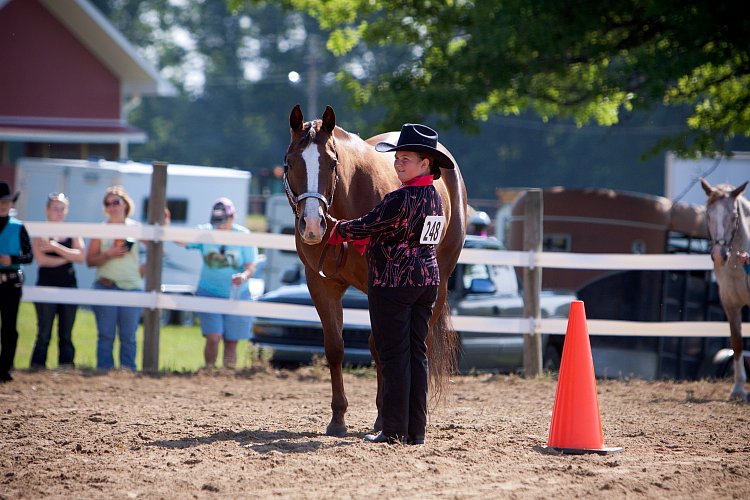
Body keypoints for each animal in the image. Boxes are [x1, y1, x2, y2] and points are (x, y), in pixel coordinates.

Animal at [284, 104, 468, 434]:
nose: (313, 225)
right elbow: (335, 347)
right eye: (289, 162)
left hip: (440, 282)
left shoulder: (378, 285)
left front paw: (383, 417)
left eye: (332, 163)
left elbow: (381, 347)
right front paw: (338, 419)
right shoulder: (321, 285)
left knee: (417, 342)